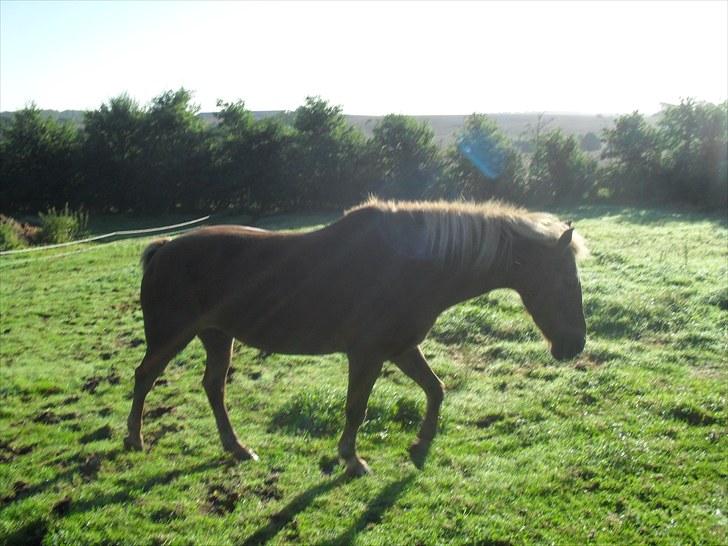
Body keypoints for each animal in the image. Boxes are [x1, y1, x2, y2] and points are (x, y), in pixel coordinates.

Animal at [125, 198, 588, 474]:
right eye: (567, 281)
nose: (575, 345)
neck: (412, 266)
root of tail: (163, 249)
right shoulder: (367, 354)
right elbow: (356, 408)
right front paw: (351, 458)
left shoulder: (401, 347)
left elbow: (435, 388)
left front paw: (421, 443)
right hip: (171, 336)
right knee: (145, 377)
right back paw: (134, 440)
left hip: (218, 336)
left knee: (213, 387)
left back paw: (237, 447)